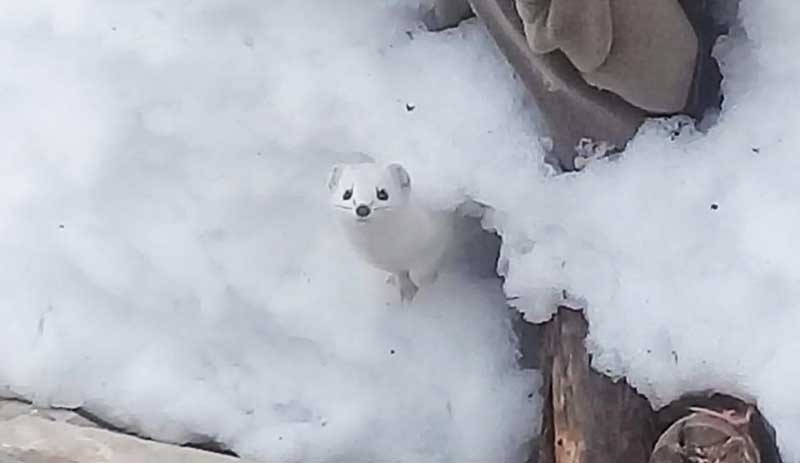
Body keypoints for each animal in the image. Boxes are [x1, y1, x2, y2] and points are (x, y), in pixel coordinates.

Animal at [324, 163, 450, 304]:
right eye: (347, 193)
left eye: (382, 193)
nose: (362, 209)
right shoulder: (389, 264)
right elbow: (401, 275)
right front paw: (406, 291)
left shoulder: (437, 240)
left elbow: (419, 273)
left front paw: (427, 283)